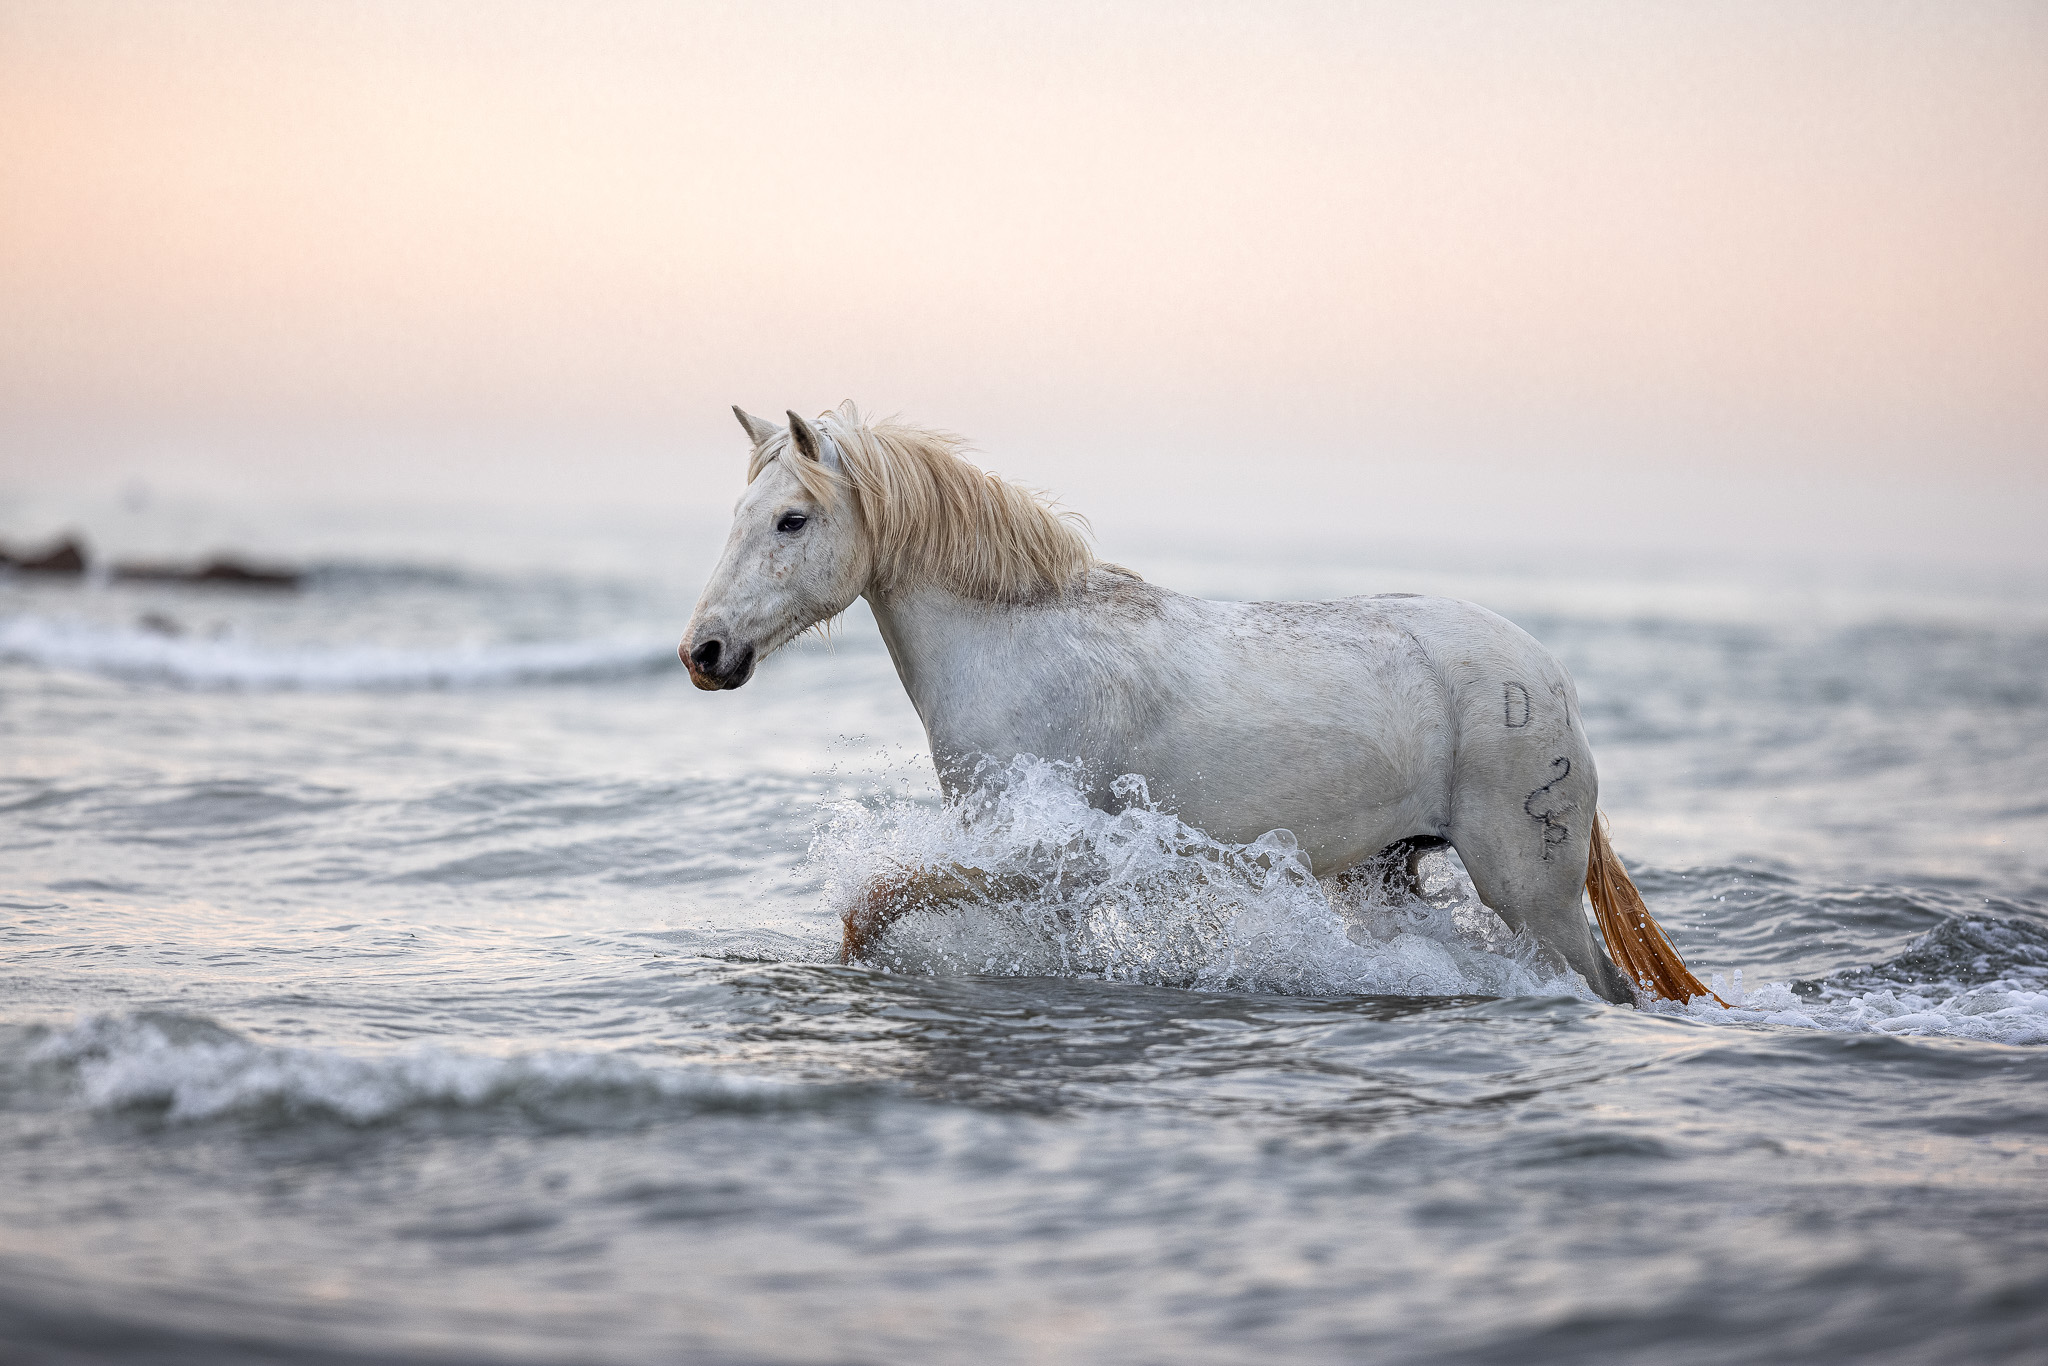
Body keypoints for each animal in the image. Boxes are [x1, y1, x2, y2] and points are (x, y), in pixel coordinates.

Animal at [684, 401, 1712, 1011]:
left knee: (1604, 984)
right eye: (738, 518)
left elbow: (873, 907)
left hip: (1530, 890)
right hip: (1388, 874)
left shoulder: (1044, 852)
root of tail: (1548, 678)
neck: (1018, 647)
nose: (704, 654)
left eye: (792, 520)